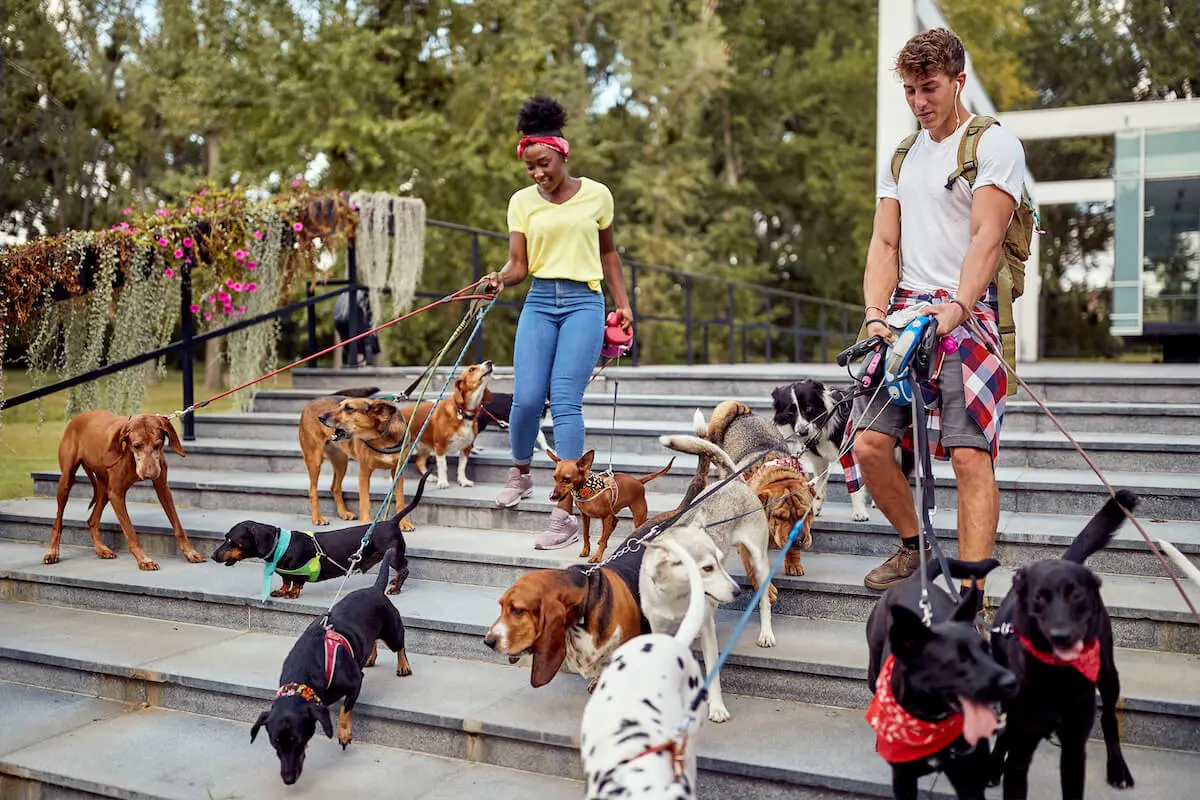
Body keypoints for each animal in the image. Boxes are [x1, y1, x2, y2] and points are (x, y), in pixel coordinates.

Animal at [43, 412, 201, 568]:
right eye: (137, 445)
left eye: (158, 445)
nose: (149, 474)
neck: (130, 454)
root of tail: (78, 417)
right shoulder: (117, 494)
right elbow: (130, 532)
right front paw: (144, 560)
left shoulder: (162, 488)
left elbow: (178, 526)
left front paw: (190, 552)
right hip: (66, 482)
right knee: (58, 522)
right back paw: (52, 552)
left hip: (104, 489)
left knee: (92, 520)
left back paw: (101, 549)